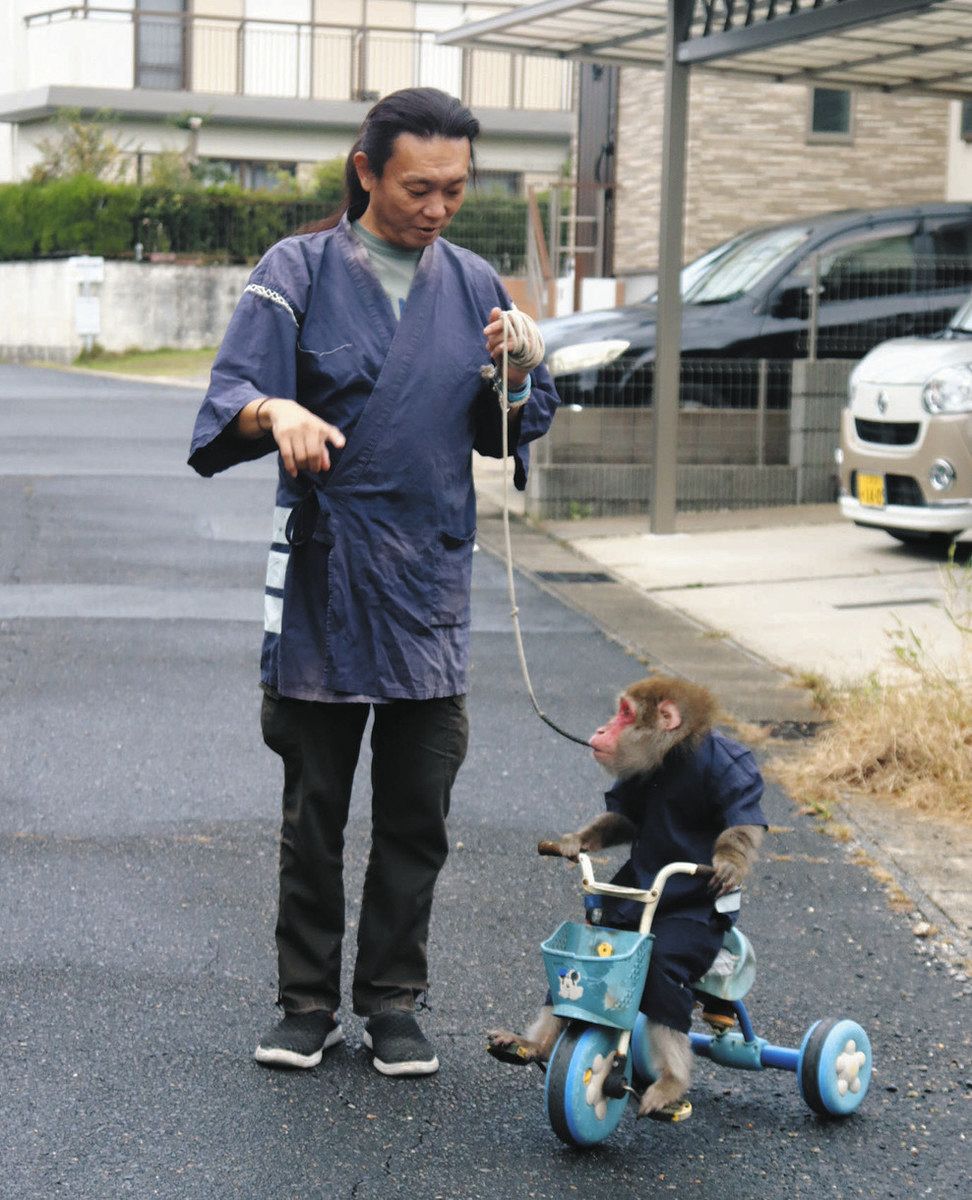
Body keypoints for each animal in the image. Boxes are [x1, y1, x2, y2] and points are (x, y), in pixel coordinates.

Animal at [487, 674, 767, 1120]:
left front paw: (729, 864)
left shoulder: (727, 765)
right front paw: (571, 843)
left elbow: (741, 826)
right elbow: (625, 818)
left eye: (625, 713)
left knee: (665, 986)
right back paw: (535, 1045)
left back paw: (670, 1084)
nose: (603, 728)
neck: (672, 756)